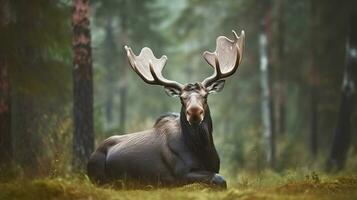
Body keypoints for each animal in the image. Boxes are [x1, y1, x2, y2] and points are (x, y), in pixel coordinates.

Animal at [88, 30, 245, 189]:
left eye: (205, 96)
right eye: (181, 98)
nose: (194, 111)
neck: (202, 151)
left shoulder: (215, 166)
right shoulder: (180, 173)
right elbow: (220, 178)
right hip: (97, 171)